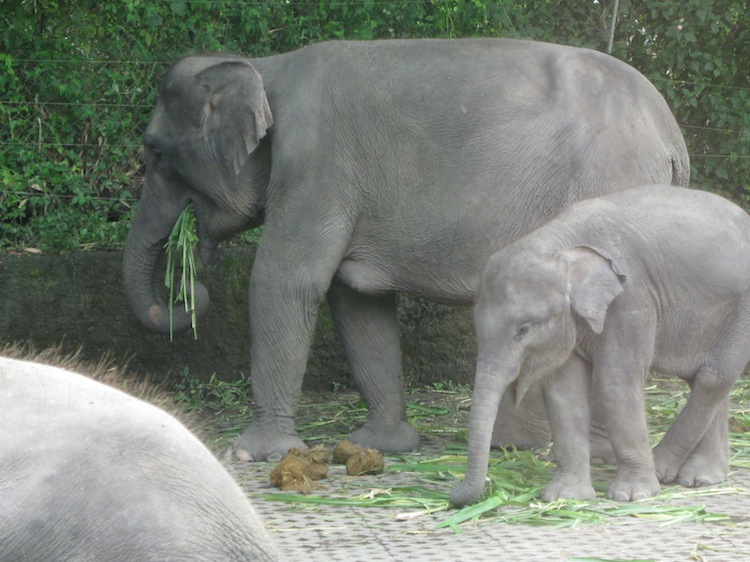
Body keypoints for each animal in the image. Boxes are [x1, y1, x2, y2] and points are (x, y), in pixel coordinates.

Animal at [125, 38, 692, 460]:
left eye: (156, 152)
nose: (193, 289)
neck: (265, 67)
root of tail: (672, 136)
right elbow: (356, 300)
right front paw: (380, 444)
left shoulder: (314, 167)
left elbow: (284, 279)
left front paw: (253, 453)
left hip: (607, 188)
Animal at [452, 186, 750, 506]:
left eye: (524, 329)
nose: (454, 492)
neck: (559, 243)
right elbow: (564, 391)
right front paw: (566, 497)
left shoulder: (631, 298)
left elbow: (616, 380)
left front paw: (632, 495)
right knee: (707, 379)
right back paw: (702, 477)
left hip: (742, 310)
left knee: (712, 378)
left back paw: (664, 469)